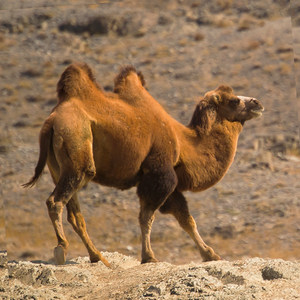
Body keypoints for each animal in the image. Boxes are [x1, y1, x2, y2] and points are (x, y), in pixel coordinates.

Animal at [23, 62, 264, 266]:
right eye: (233, 100)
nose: (258, 103)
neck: (184, 142)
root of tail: (51, 121)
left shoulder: (169, 182)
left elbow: (186, 219)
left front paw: (210, 254)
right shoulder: (160, 173)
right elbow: (147, 216)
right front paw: (149, 256)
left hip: (59, 167)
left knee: (74, 213)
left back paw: (98, 257)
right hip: (77, 148)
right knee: (56, 201)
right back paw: (61, 249)